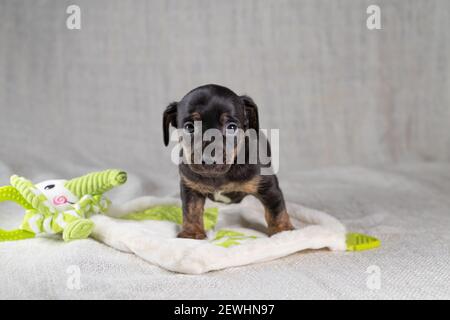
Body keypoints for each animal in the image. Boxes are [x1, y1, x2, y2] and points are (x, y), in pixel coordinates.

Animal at [163, 84, 294, 239]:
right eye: (189, 127)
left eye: (231, 127)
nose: (209, 159)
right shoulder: (190, 187)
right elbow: (191, 210)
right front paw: (191, 233)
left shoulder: (269, 187)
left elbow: (276, 211)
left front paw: (283, 232)